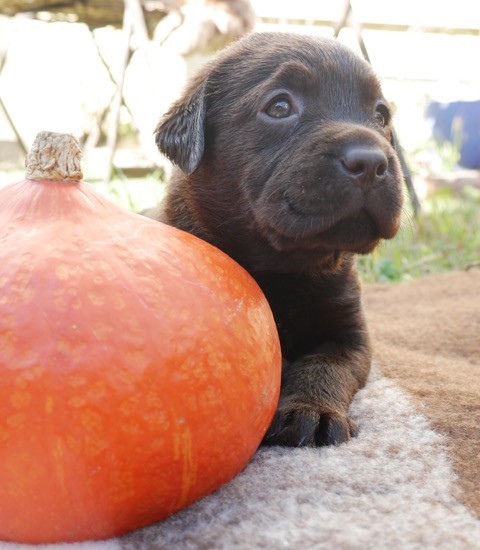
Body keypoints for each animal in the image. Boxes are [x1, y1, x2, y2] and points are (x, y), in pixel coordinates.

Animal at [145, 32, 404, 447]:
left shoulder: (349, 335)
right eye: (280, 107)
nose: (371, 163)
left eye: (381, 116)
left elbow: (325, 365)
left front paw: (311, 409)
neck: (287, 267)